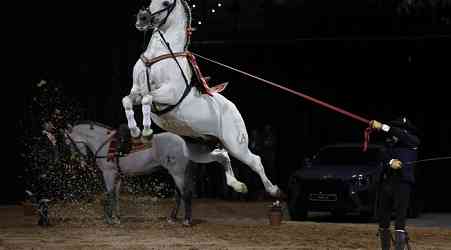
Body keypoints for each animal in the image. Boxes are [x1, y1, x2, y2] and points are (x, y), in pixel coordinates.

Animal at [63, 121, 244, 227]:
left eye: (67, 141)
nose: (78, 158)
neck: (106, 144)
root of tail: (184, 142)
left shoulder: (108, 174)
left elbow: (108, 194)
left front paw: (109, 219)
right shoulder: (118, 175)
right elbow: (115, 195)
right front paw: (117, 217)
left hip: (177, 173)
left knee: (185, 194)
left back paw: (186, 220)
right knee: (179, 194)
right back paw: (173, 218)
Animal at [121, 0, 282, 199]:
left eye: (166, 3)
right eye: (151, 2)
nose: (142, 18)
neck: (157, 58)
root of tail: (233, 108)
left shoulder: (170, 93)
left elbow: (147, 98)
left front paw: (147, 132)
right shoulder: (136, 90)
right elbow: (128, 100)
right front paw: (136, 132)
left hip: (236, 145)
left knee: (255, 161)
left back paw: (273, 190)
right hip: (199, 148)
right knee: (222, 156)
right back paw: (237, 185)